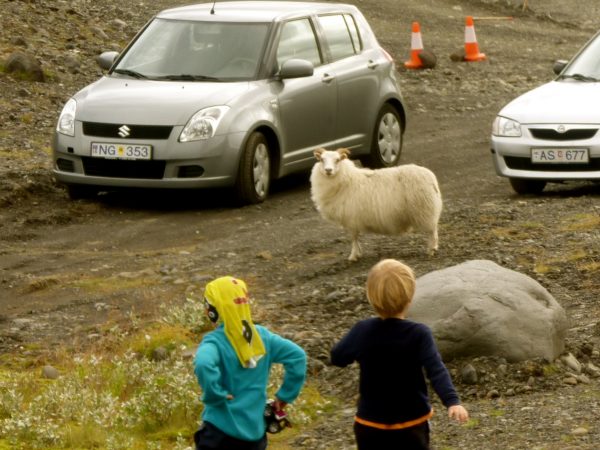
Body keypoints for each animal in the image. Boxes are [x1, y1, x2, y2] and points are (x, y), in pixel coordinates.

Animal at [310, 149, 440, 260]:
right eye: (321, 160)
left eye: (337, 160)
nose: (328, 170)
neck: (346, 179)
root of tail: (431, 177)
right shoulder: (353, 220)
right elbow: (356, 238)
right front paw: (358, 253)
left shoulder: (351, 219)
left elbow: (353, 238)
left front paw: (353, 255)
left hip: (425, 211)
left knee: (432, 232)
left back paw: (431, 250)